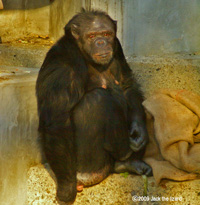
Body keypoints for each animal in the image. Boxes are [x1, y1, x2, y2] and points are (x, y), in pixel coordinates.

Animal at [36, 9, 152, 203]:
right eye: (91, 36)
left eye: (106, 34)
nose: (101, 42)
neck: (83, 54)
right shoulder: (64, 65)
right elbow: (58, 122)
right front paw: (66, 190)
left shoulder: (117, 46)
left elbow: (127, 84)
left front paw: (139, 131)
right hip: (83, 166)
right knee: (97, 99)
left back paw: (128, 163)